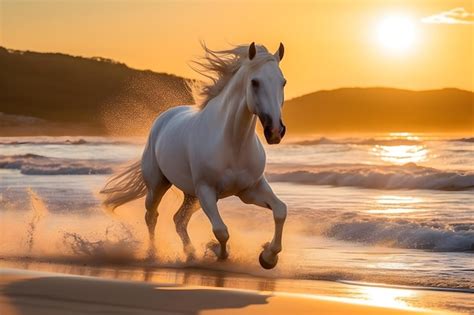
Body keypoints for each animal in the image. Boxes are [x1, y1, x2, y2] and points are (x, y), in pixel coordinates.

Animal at [101, 41, 286, 270]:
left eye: (283, 82)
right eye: (255, 82)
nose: (275, 131)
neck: (233, 143)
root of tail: (163, 118)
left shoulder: (250, 190)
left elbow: (280, 210)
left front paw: (268, 257)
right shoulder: (206, 190)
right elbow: (221, 231)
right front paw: (218, 252)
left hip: (192, 196)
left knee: (179, 219)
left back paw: (190, 254)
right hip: (158, 186)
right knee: (152, 216)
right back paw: (153, 254)